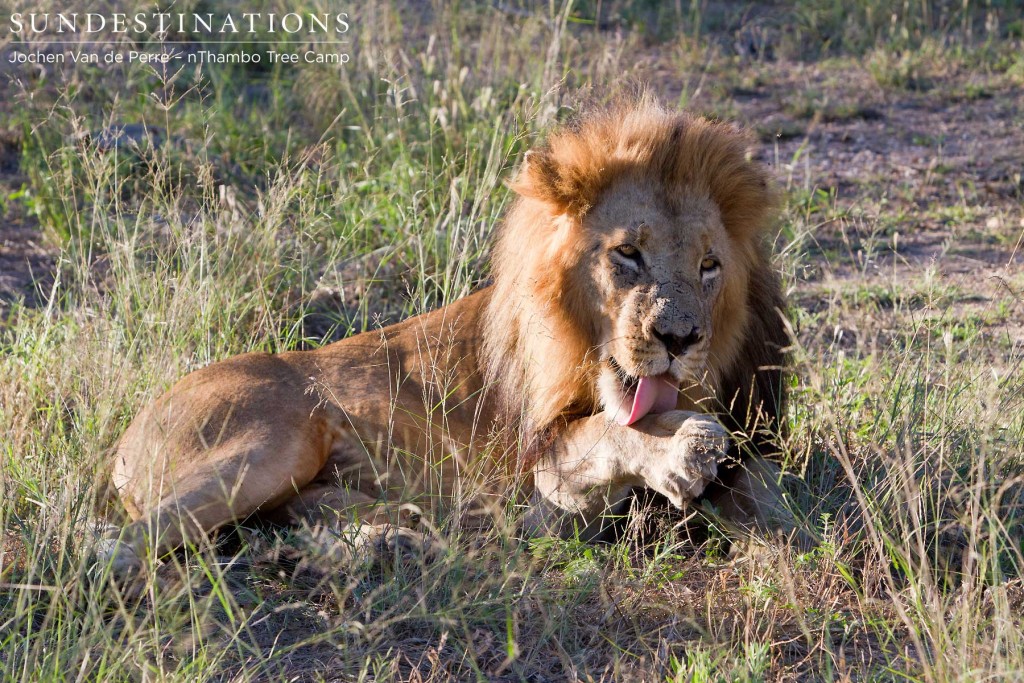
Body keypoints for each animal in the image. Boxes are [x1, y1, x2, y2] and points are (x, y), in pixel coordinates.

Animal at [99, 97, 794, 577]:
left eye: (709, 266)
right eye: (628, 254)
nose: (679, 339)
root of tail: (129, 436)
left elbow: (766, 490)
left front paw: (782, 533)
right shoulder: (545, 490)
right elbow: (608, 433)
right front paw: (683, 449)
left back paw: (389, 543)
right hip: (274, 437)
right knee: (120, 544)